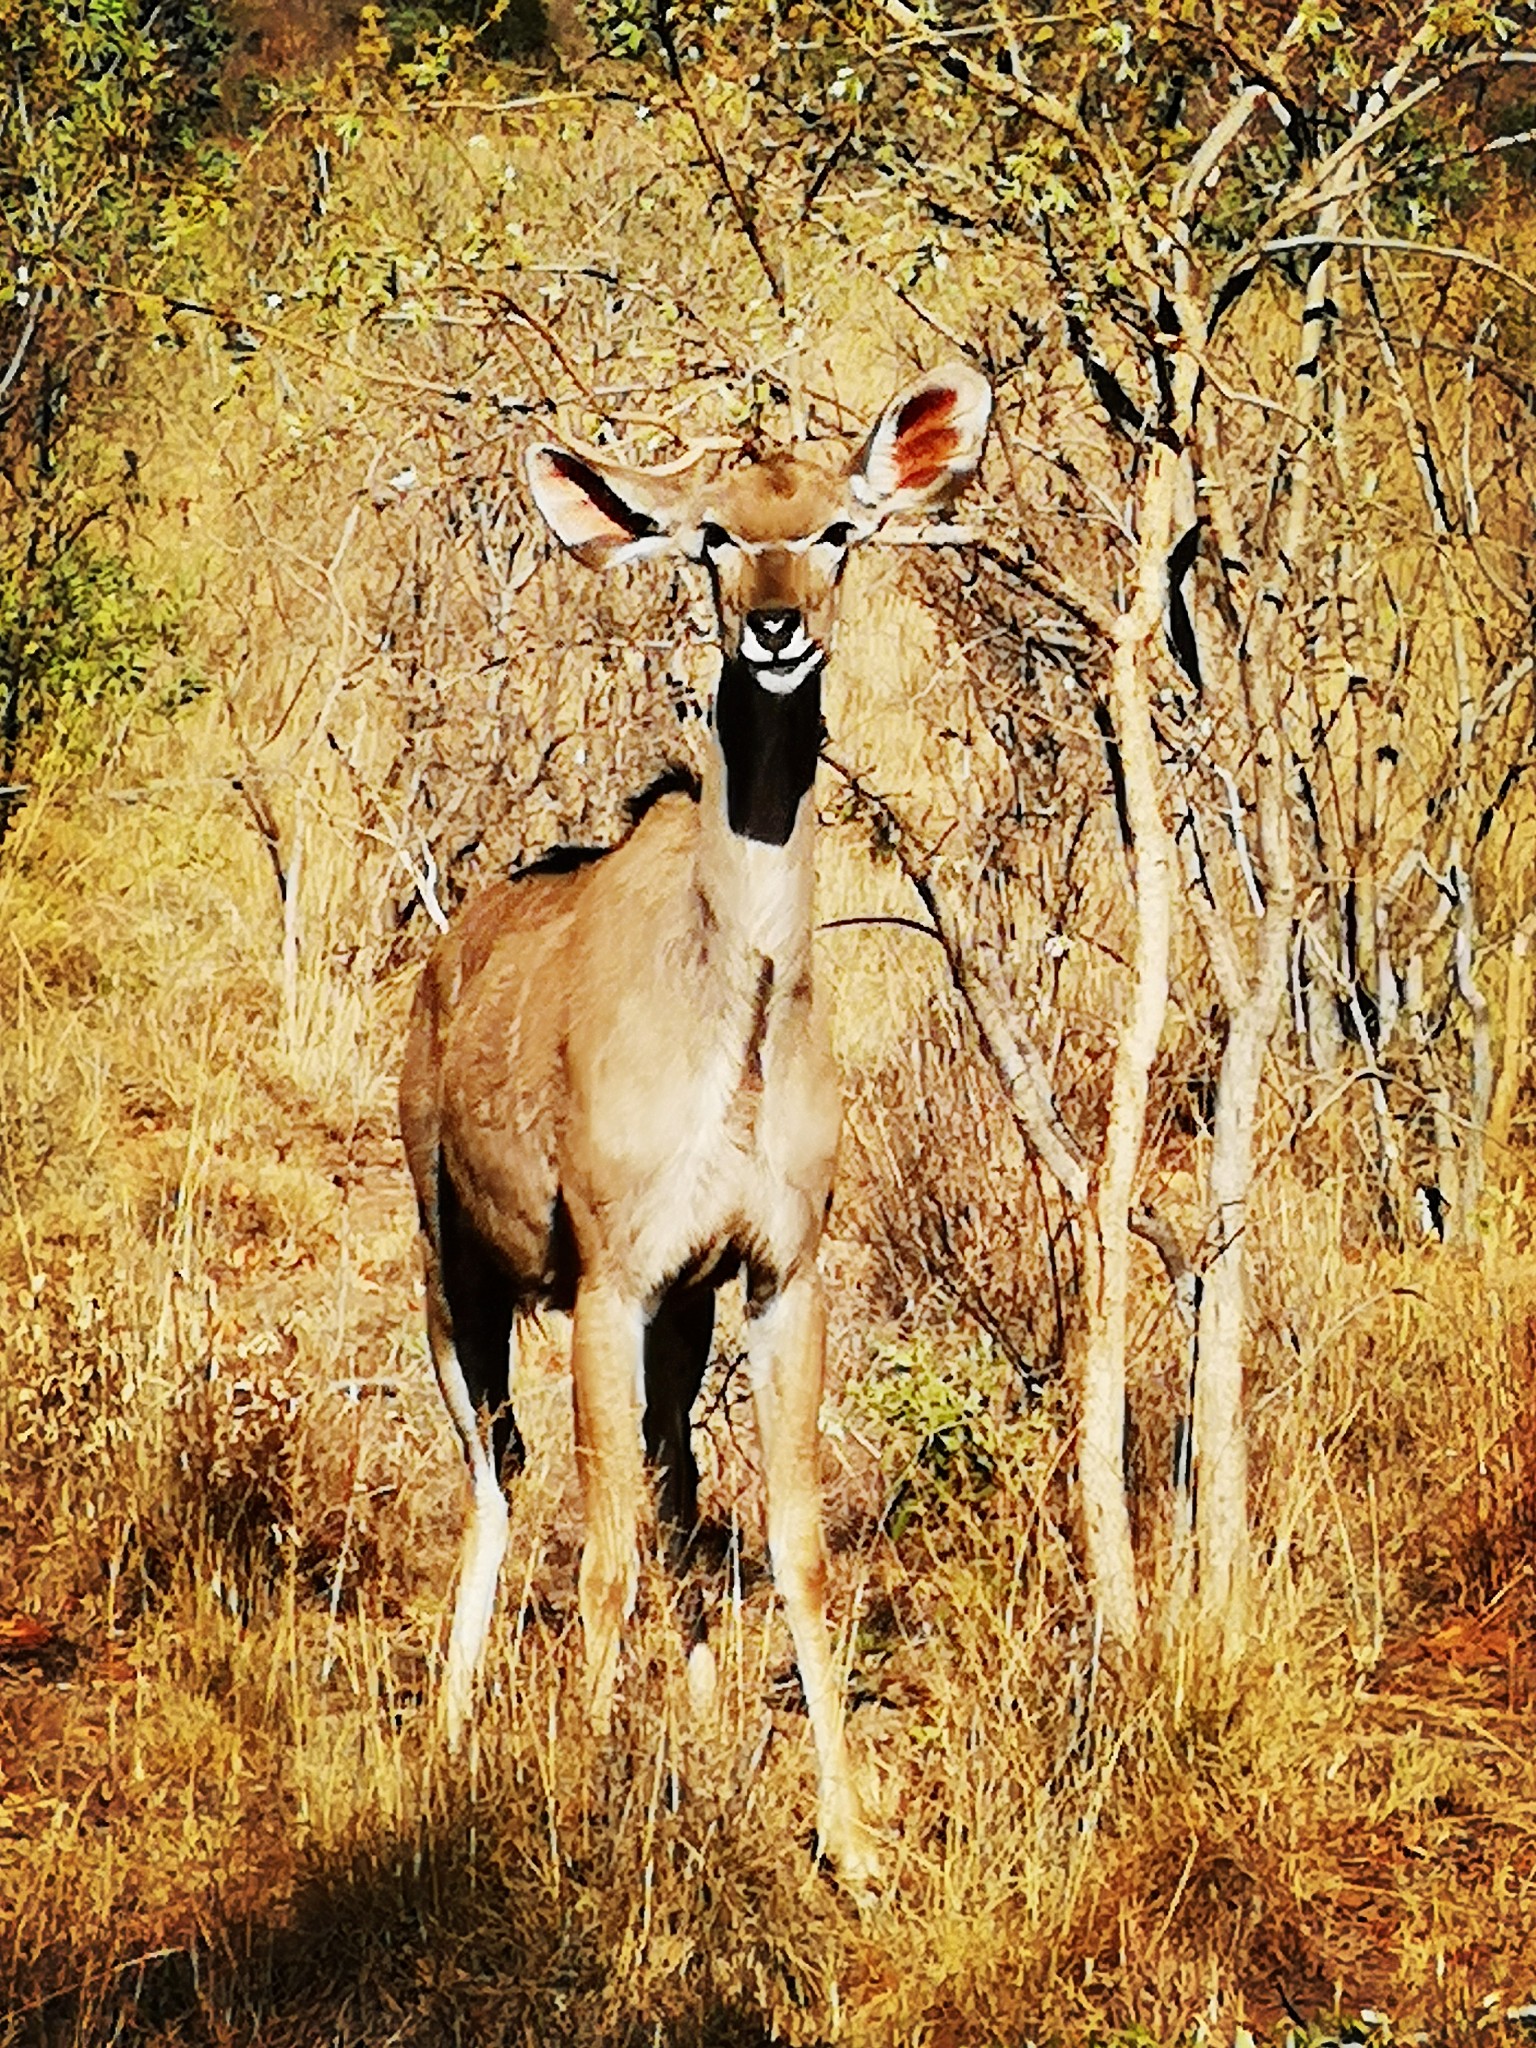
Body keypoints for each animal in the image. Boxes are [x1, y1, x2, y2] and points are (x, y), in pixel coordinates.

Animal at [399, 364, 999, 1875]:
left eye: (839, 526)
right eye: (714, 535)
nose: (777, 629)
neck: (735, 1008)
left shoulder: (775, 1273)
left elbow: (784, 1538)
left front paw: (852, 1840)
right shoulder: (606, 1277)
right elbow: (603, 1546)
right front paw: (586, 1799)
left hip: (668, 1314)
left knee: (668, 1493)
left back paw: (689, 1722)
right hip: (456, 1271)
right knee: (503, 1476)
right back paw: (453, 1735)